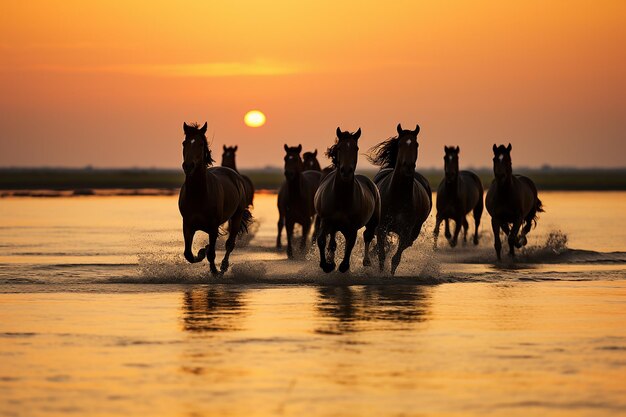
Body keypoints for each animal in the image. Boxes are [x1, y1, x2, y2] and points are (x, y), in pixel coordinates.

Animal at [178, 122, 251, 274]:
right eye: (184, 143)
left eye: (201, 144)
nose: (188, 166)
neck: (198, 195)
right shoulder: (187, 225)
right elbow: (189, 254)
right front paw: (201, 252)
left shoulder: (212, 226)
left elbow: (212, 254)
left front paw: (215, 271)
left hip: (236, 216)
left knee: (230, 244)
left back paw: (223, 266)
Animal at [312, 128, 380, 274]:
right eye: (339, 148)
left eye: (356, 148)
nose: (346, 171)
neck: (341, 197)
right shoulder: (326, 221)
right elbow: (322, 240)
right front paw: (326, 265)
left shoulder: (352, 227)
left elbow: (350, 244)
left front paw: (344, 265)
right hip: (334, 226)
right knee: (332, 241)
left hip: (372, 222)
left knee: (367, 236)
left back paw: (366, 261)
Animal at [368, 122, 432, 274]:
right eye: (400, 143)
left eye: (416, 144)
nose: (408, 166)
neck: (399, 196)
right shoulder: (382, 227)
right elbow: (381, 254)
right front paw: (380, 273)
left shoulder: (406, 231)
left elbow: (396, 258)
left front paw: (390, 274)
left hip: (414, 232)